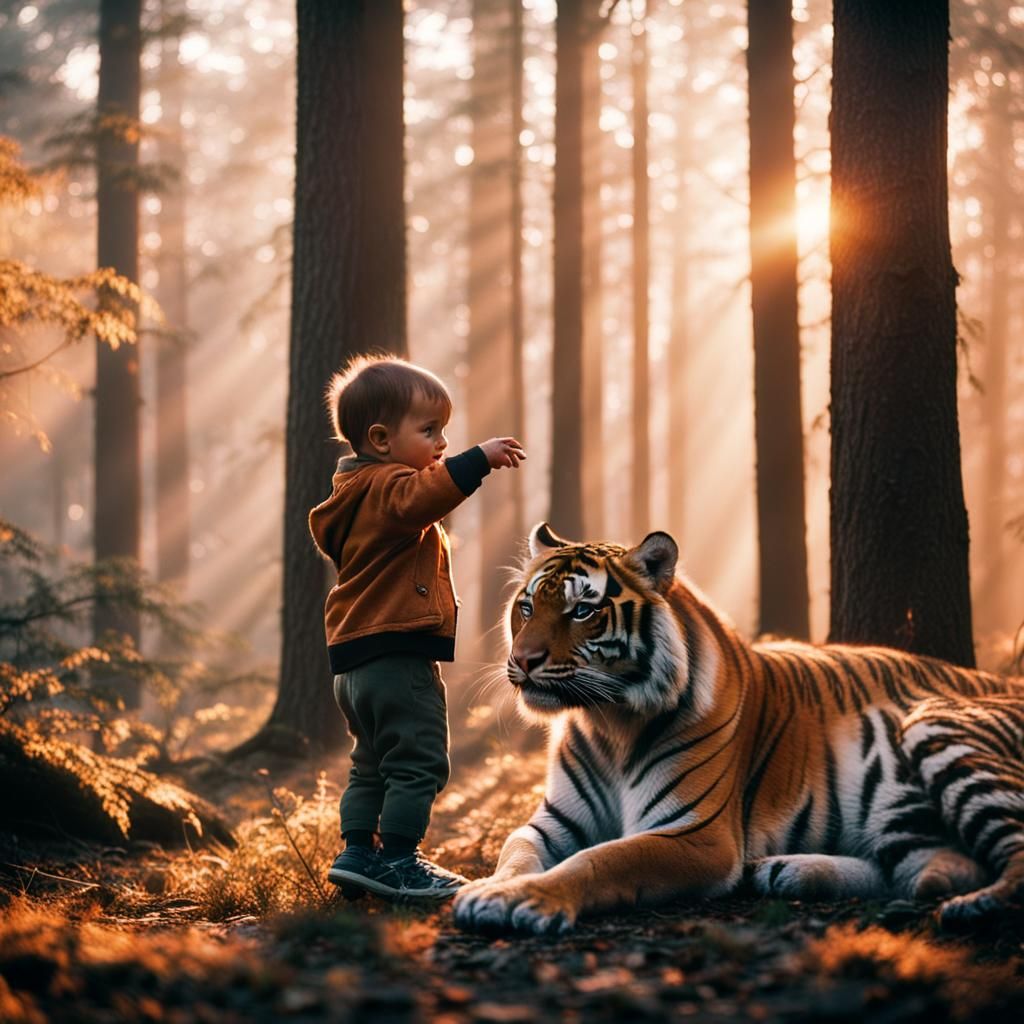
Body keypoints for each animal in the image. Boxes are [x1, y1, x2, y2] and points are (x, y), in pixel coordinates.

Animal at [451, 523, 1024, 935]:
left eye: (583, 611)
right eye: (527, 606)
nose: (522, 661)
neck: (607, 722)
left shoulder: (697, 834)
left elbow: (598, 860)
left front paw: (525, 898)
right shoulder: (552, 822)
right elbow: (515, 852)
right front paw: (488, 890)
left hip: (936, 724)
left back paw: (974, 909)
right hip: (900, 822)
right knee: (936, 865)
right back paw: (786, 869)